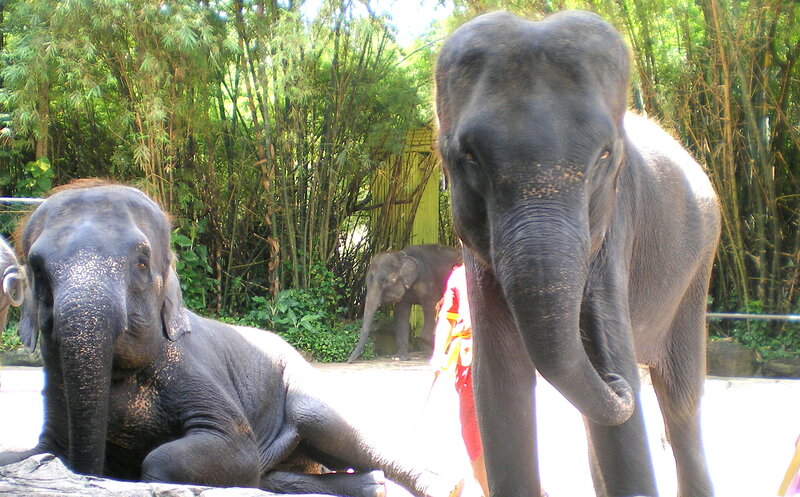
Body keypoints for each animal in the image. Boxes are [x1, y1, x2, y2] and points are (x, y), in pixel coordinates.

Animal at [0, 179, 462, 497]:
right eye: (36, 268)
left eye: (141, 263)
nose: (92, 473)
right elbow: (38, 452)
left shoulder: (194, 370)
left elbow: (229, 452)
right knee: (274, 474)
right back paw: (372, 485)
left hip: (308, 387)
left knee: (320, 422)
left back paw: (441, 485)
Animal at [435, 10, 720, 497]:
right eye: (469, 157)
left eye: (605, 155)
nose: (615, 380)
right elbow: (499, 387)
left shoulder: (615, 229)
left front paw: (617, 371)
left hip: (697, 270)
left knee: (681, 402)